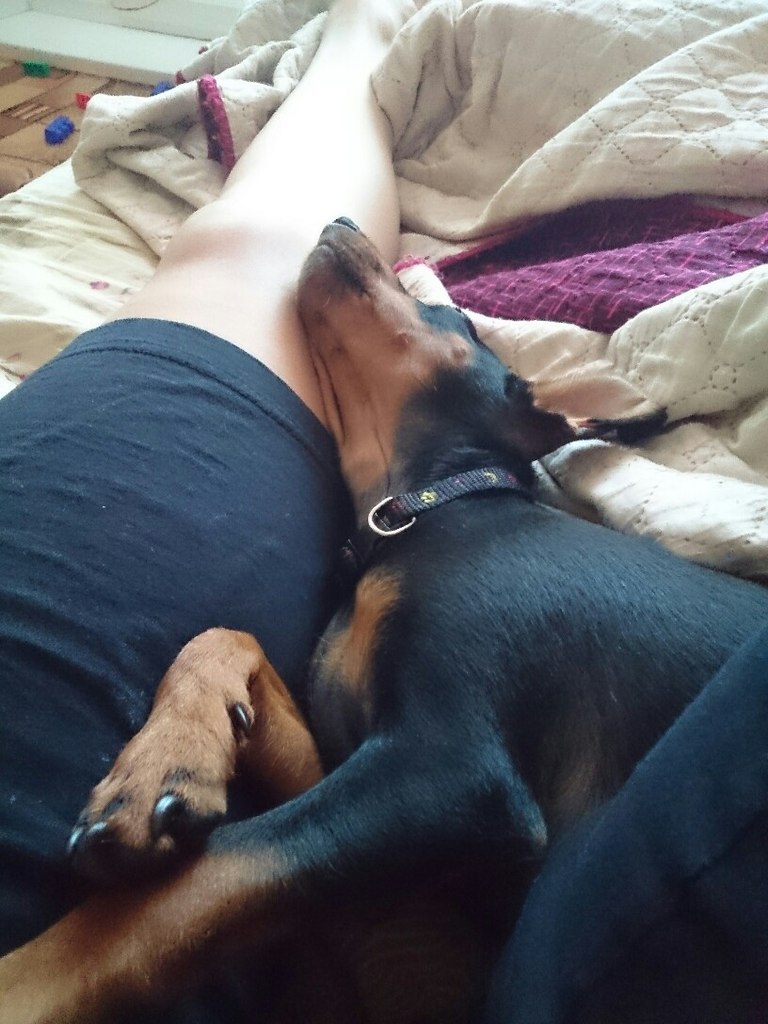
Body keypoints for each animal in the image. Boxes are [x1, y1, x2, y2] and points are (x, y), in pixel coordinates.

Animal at [1, 218, 767, 1023]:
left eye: (456, 320)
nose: (339, 223)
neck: (425, 510)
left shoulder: (451, 775)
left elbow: (187, 889)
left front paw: (19, 982)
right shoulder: (377, 809)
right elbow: (222, 637)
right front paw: (163, 767)